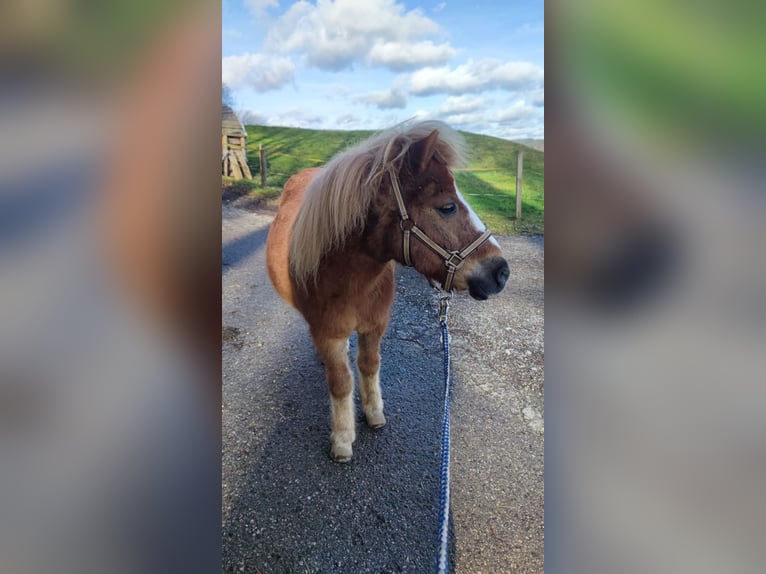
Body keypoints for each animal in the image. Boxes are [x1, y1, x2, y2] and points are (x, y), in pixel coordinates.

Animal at [268, 121, 512, 464]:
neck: (350, 279)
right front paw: (342, 438)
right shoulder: (328, 332)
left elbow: (369, 366)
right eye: (447, 207)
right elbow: (340, 382)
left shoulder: (375, 326)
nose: (501, 272)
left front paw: (374, 413)